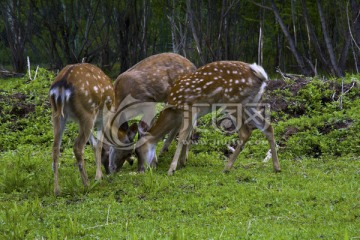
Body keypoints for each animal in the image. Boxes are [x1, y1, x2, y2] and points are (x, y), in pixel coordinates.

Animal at [49, 62, 114, 195]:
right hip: (87, 111)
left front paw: (99, 175)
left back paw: (57, 190)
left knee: (55, 147)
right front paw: (98, 177)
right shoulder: (104, 117)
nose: (109, 171)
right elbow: (99, 145)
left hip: (57, 114)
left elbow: (94, 144)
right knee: (78, 146)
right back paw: (87, 184)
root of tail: (63, 82)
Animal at [135, 61, 282, 175]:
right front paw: (182, 162)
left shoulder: (189, 107)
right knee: (268, 127)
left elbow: (182, 136)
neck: (174, 110)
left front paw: (172, 169)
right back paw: (277, 167)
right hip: (250, 104)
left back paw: (226, 168)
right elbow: (188, 135)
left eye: (137, 150)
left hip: (232, 101)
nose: (141, 170)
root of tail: (261, 76)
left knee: (246, 132)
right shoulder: (195, 114)